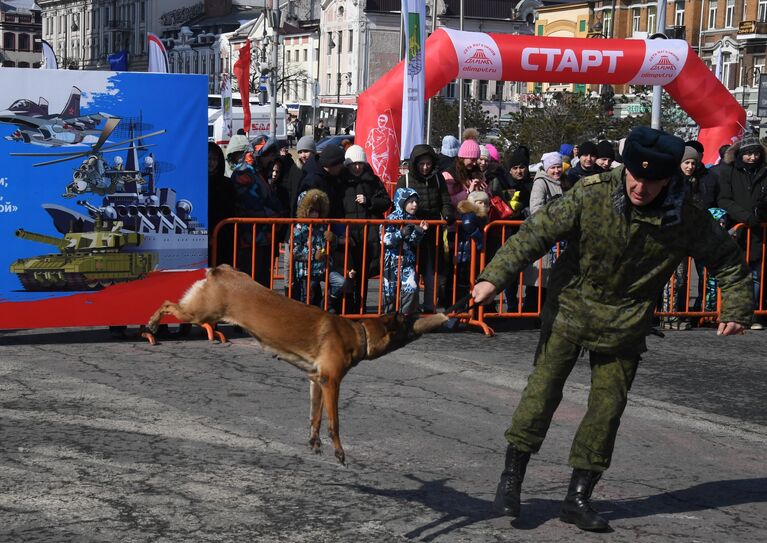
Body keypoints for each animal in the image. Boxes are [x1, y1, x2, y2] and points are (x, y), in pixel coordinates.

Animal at [146, 264, 448, 464]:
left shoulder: (316, 381)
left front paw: (314, 442)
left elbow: (315, 417)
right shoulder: (331, 383)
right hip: (200, 313)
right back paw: (151, 324)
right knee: (167, 303)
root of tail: (222, 271)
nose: (422, 319)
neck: (358, 333)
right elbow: (334, 422)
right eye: (406, 322)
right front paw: (339, 450)